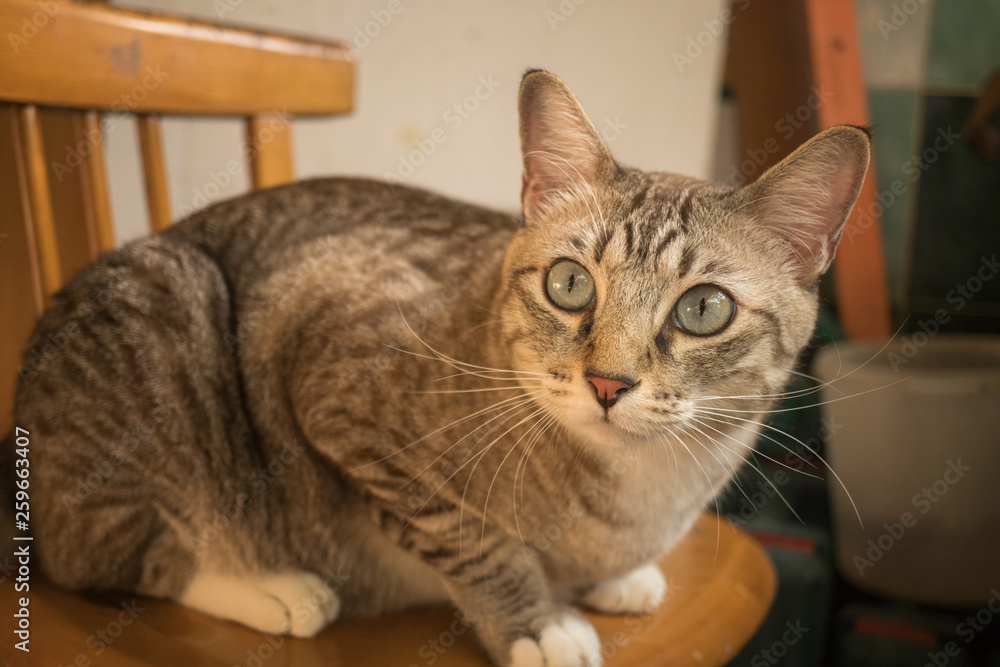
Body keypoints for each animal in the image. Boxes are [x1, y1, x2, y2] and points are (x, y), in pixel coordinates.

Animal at [9, 70, 868, 664]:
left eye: (703, 309)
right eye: (570, 284)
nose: (608, 383)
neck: (641, 491)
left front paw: (618, 577)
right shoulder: (334, 385)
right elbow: (469, 535)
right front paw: (537, 623)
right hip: (170, 310)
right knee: (115, 552)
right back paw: (273, 586)